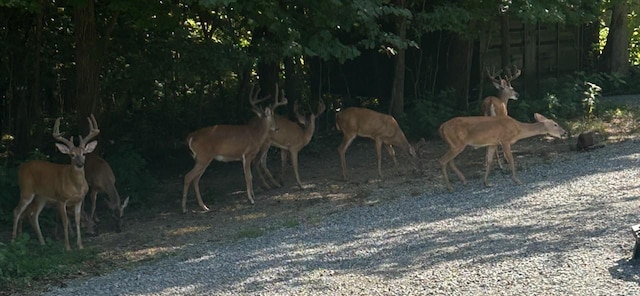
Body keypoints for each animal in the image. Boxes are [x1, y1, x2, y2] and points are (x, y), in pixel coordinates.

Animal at [12, 113, 100, 250]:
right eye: (72, 155)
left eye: (84, 153)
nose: (80, 164)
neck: (76, 186)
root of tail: (21, 167)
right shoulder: (61, 199)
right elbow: (65, 222)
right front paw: (67, 247)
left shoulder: (79, 200)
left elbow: (77, 221)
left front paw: (80, 245)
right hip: (26, 190)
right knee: (16, 211)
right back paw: (13, 241)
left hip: (41, 197)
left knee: (33, 215)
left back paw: (42, 242)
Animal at [182, 84, 288, 213]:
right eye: (272, 116)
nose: (277, 128)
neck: (256, 135)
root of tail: (190, 137)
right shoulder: (247, 154)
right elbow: (248, 177)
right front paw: (251, 199)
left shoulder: (244, 157)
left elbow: (249, 176)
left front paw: (252, 196)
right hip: (204, 157)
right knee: (188, 177)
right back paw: (184, 208)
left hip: (202, 158)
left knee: (196, 179)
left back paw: (204, 207)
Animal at [438, 113, 568, 192]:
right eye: (555, 124)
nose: (565, 132)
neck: (518, 130)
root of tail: (441, 127)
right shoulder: (505, 140)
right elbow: (511, 160)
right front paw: (517, 180)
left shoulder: (493, 143)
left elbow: (489, 161)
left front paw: (486, 182)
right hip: (458, 143)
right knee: (442, 160)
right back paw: (450, 187)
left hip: (454, 144)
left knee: (450, 161)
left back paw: (463, 181)